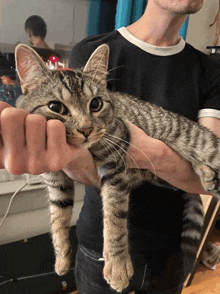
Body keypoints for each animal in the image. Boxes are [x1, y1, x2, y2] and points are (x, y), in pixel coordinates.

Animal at [15, 43, 220, 292]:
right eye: (56, 107)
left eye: (95, 104)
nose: (86, 129)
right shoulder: (56, 180)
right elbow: (58, 218)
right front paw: (62, 258)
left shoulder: (115, 167)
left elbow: (114, 220)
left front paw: (117, 266)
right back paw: (205, 173)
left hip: (204, 144)